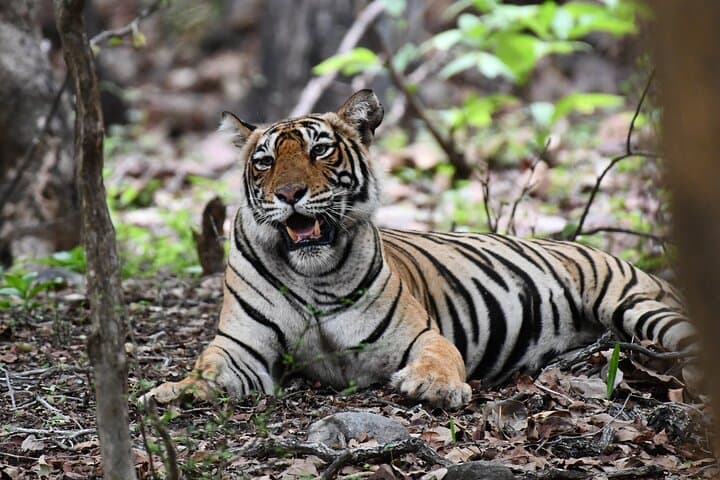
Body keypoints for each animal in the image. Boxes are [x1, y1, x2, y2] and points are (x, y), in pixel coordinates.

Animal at [142, 90, 696, 409]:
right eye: (264, 161)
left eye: (320, 150)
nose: (289, 194)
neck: (311, 275)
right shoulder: (242, 348)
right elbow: (206, 368)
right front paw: (168, 392)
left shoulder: (420, 334)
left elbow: (440, 358)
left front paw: (434, 387)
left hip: (634, 304)